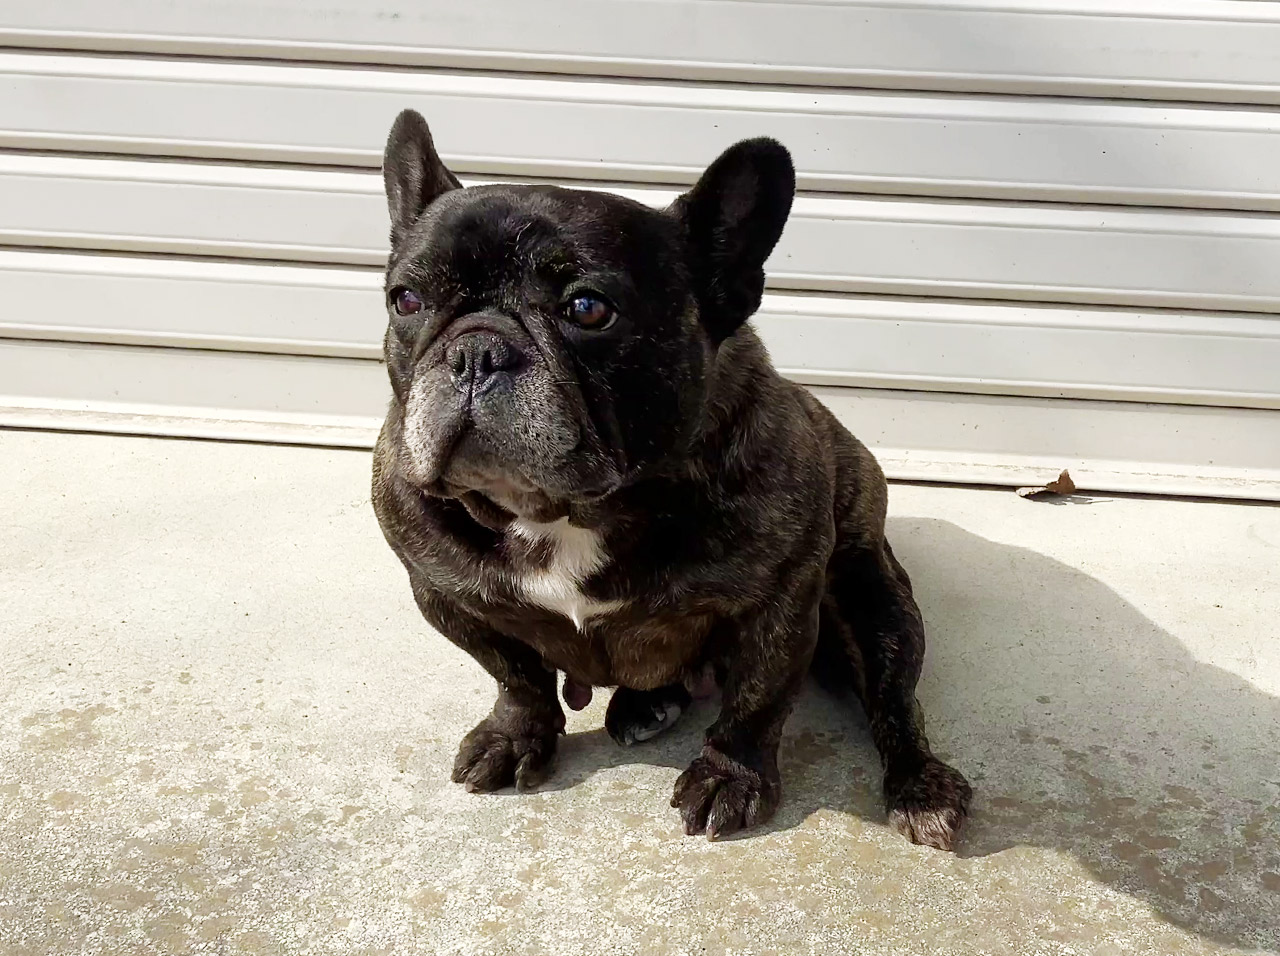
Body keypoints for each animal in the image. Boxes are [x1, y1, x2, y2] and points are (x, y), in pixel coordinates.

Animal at [371, 109, 972, 847]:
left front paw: (729, 775)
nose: (474, 351)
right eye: (406, 300)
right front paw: (516, 736)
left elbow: (758, 698)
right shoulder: (445, 594)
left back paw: (921, 786)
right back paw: (645, 704)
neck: (565, 511)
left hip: (872, 599)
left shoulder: (780, 600)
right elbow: (516, 675)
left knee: (894, 697)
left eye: (589, 309)